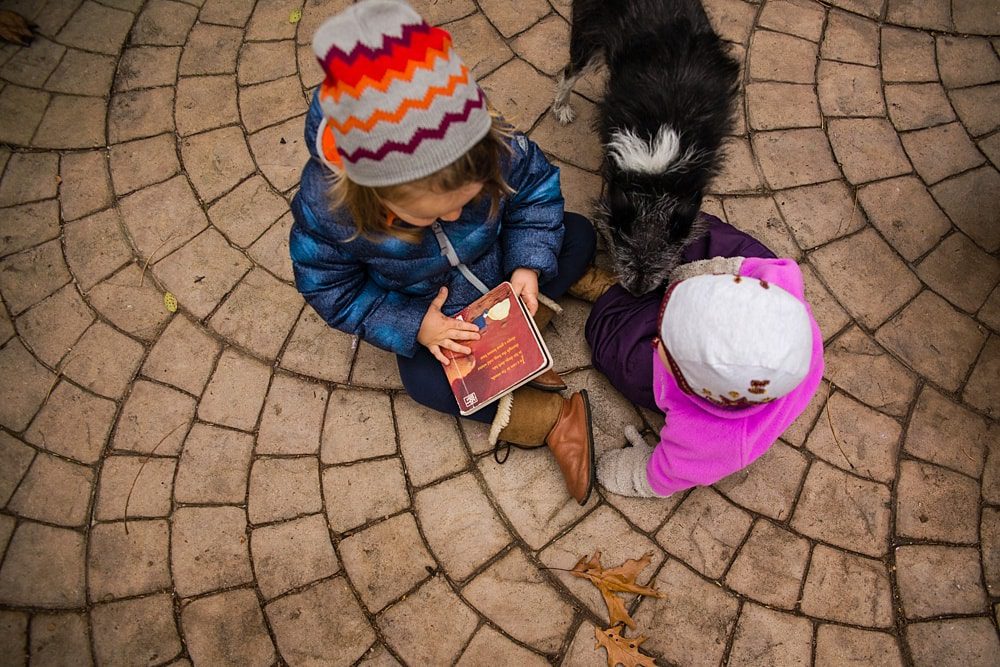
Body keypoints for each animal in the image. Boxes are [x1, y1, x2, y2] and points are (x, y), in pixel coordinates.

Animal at [556, 0, 744, 294]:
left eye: (662, 258)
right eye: (625, 251)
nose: (636, 291)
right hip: (587, 37)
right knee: (570, 71)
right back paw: (562, 106)